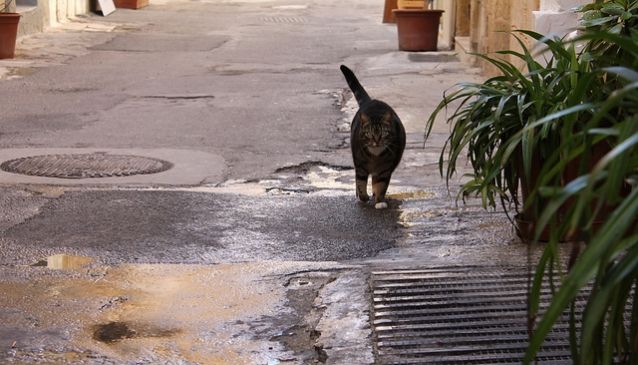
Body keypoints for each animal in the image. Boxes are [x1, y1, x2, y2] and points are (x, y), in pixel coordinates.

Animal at [340, 64, 404, 209]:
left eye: (384, 133)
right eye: (369, 134)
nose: (376, 140)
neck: (375, 157)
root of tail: (371, 101)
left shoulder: (385, 170)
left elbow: (381, 186)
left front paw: (379, 200)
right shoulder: (360, 167)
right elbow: (360, 184)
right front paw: (363, 197)